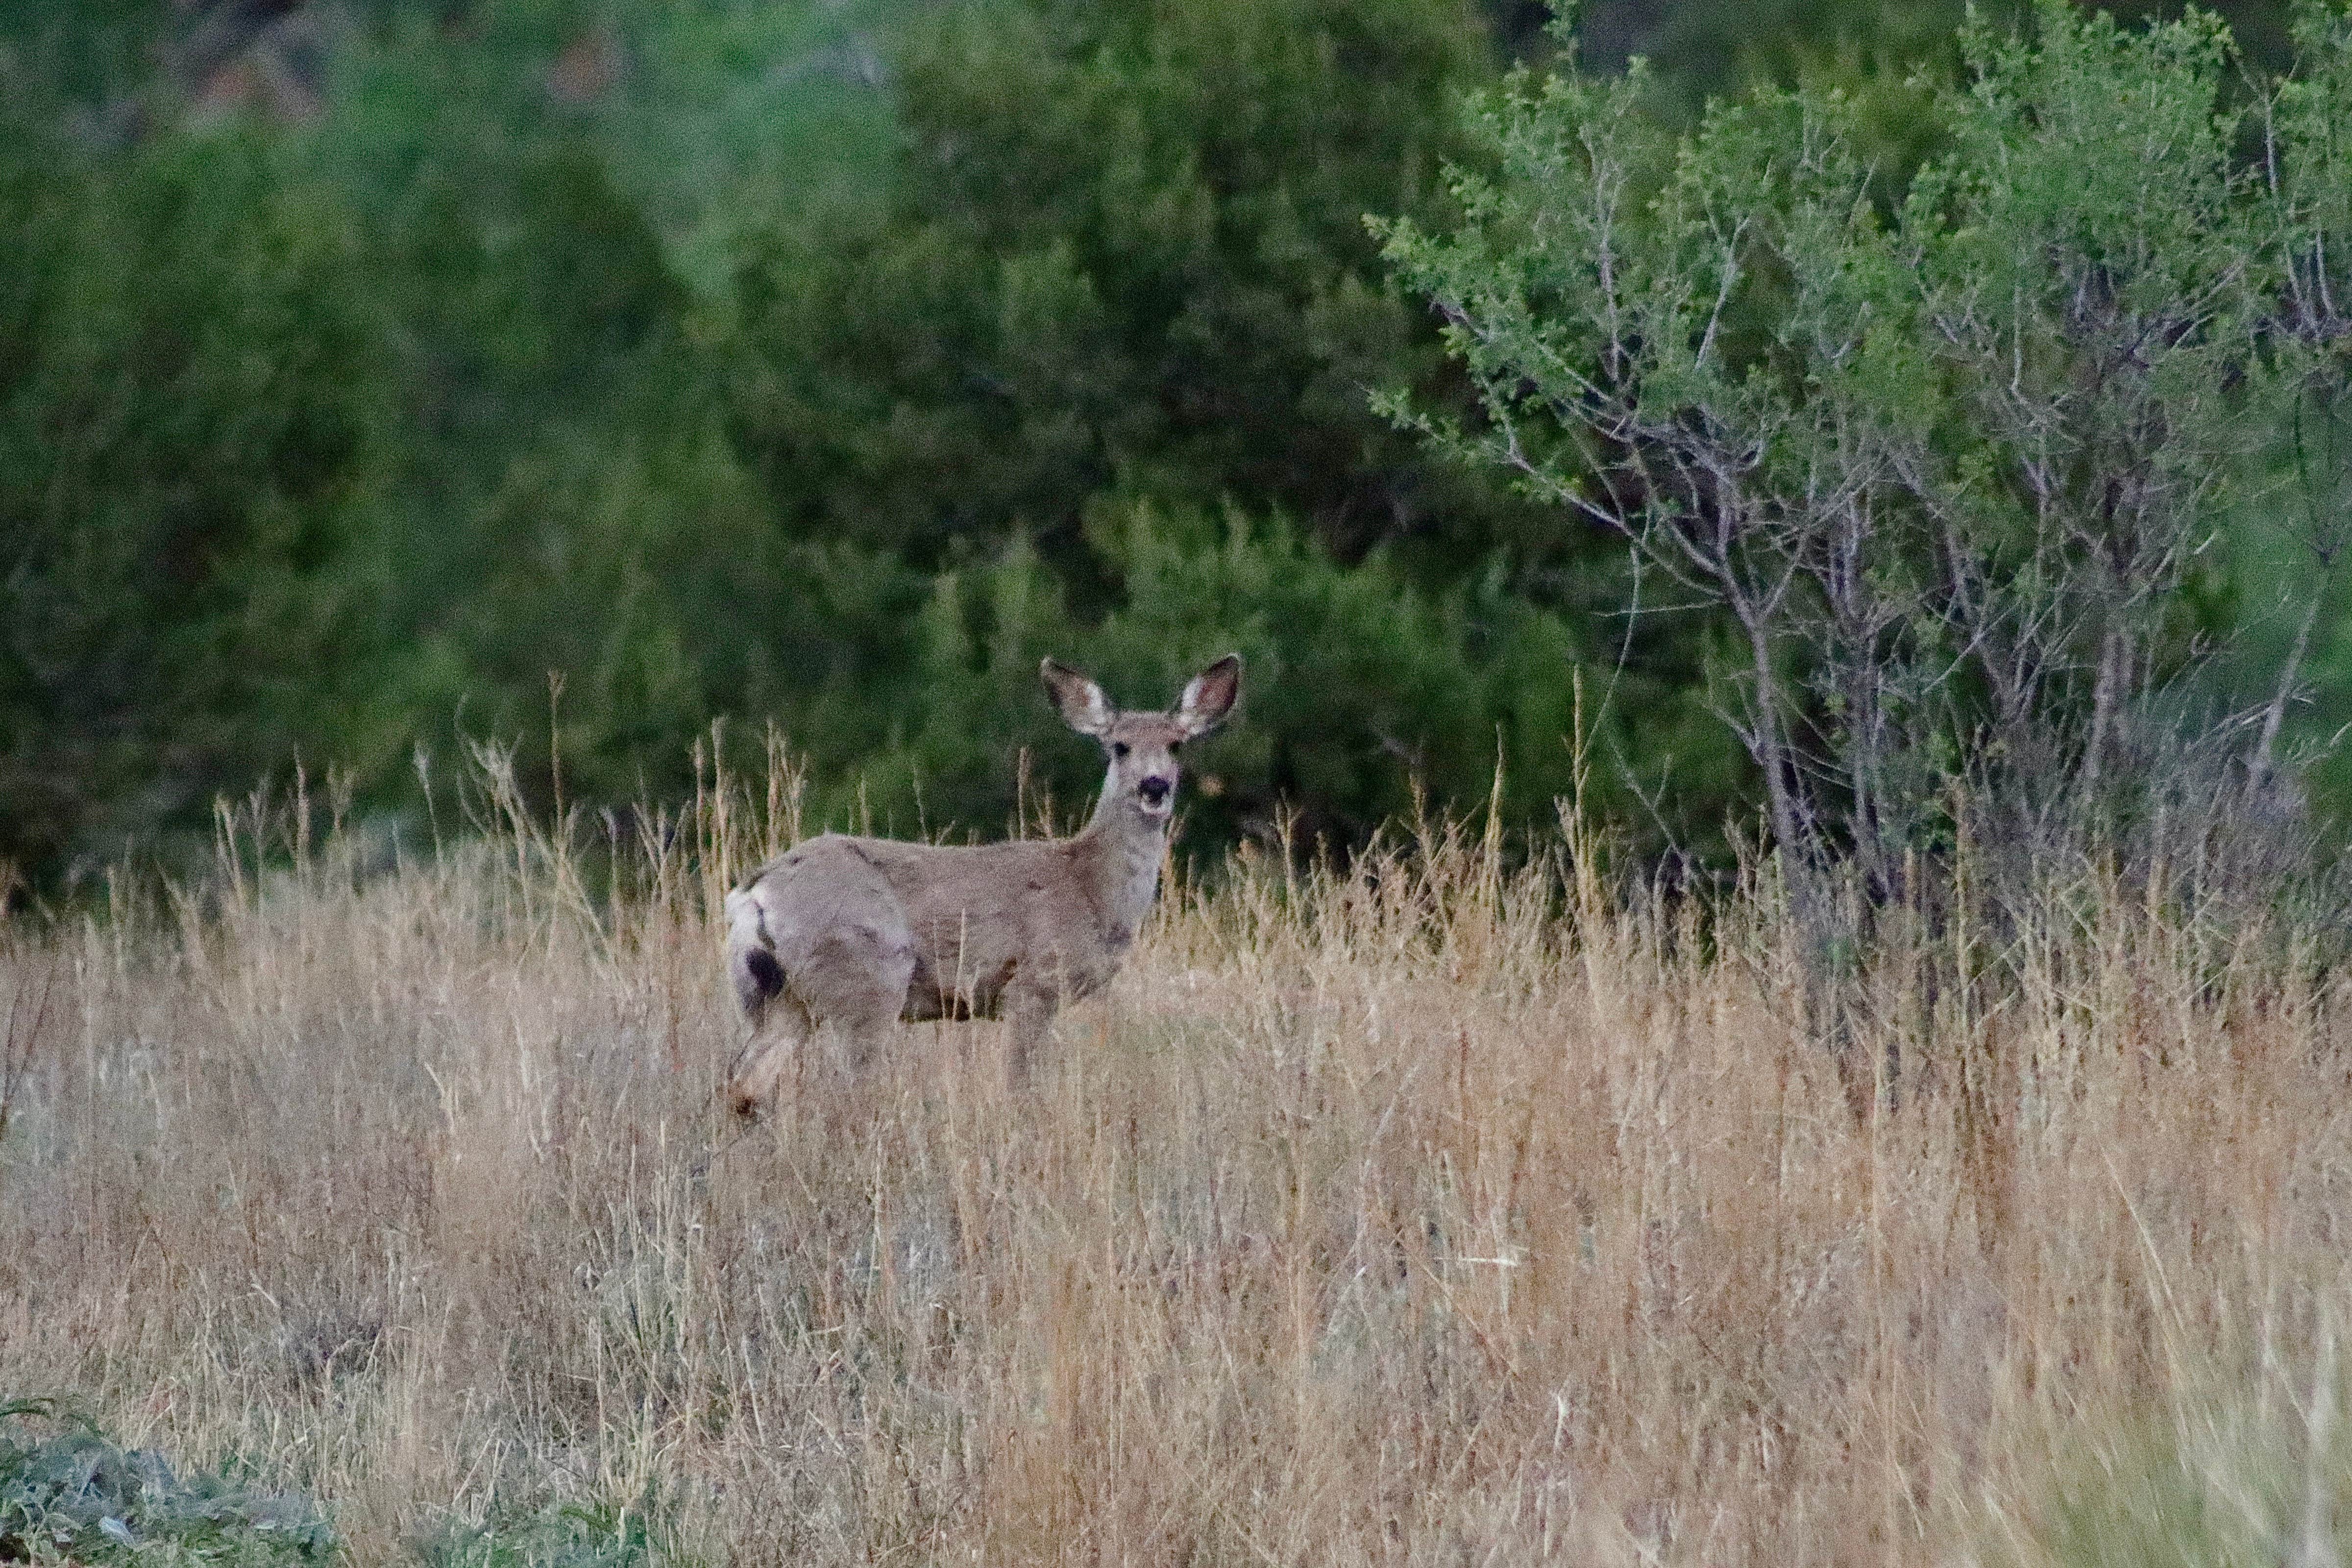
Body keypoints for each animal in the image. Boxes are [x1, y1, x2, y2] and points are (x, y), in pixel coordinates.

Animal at [719, 653, 1242, 1114]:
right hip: (865, 979)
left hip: (778, 998)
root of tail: (754, 894)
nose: (1155, 786)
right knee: (846, 1090)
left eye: (1176, 745)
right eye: (1120, 746)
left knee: (745, 1085)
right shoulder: (1033, 985)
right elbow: (1019, 1086)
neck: (1089, 886)